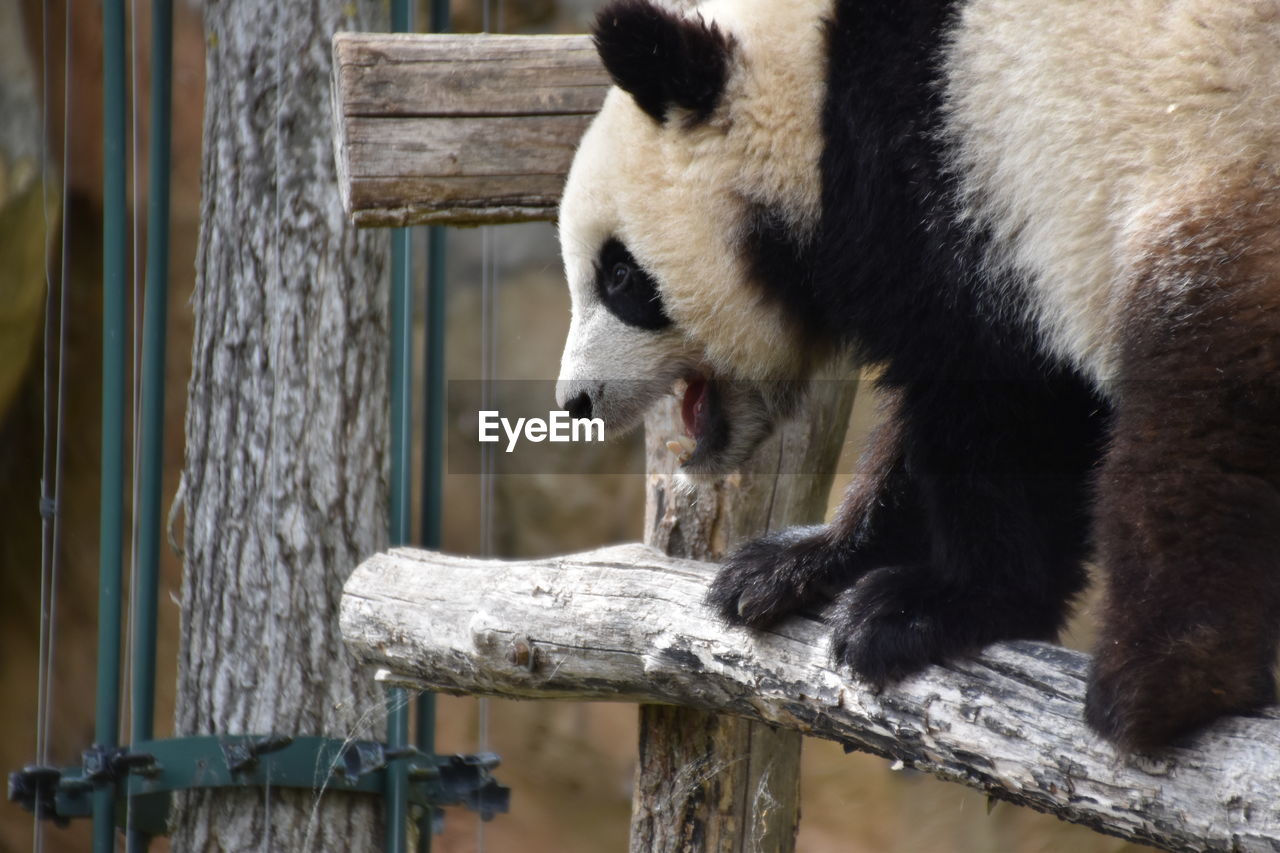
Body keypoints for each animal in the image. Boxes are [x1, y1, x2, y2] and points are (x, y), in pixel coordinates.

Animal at [552, 0, 1280, 747]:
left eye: (619, 275)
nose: (575, 401)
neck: (820, 90)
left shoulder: (958, 156)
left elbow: (996, 400)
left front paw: (936, 607)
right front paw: (794, 564)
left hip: (1219, 165)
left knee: (1202, 402)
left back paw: (1162, 682)